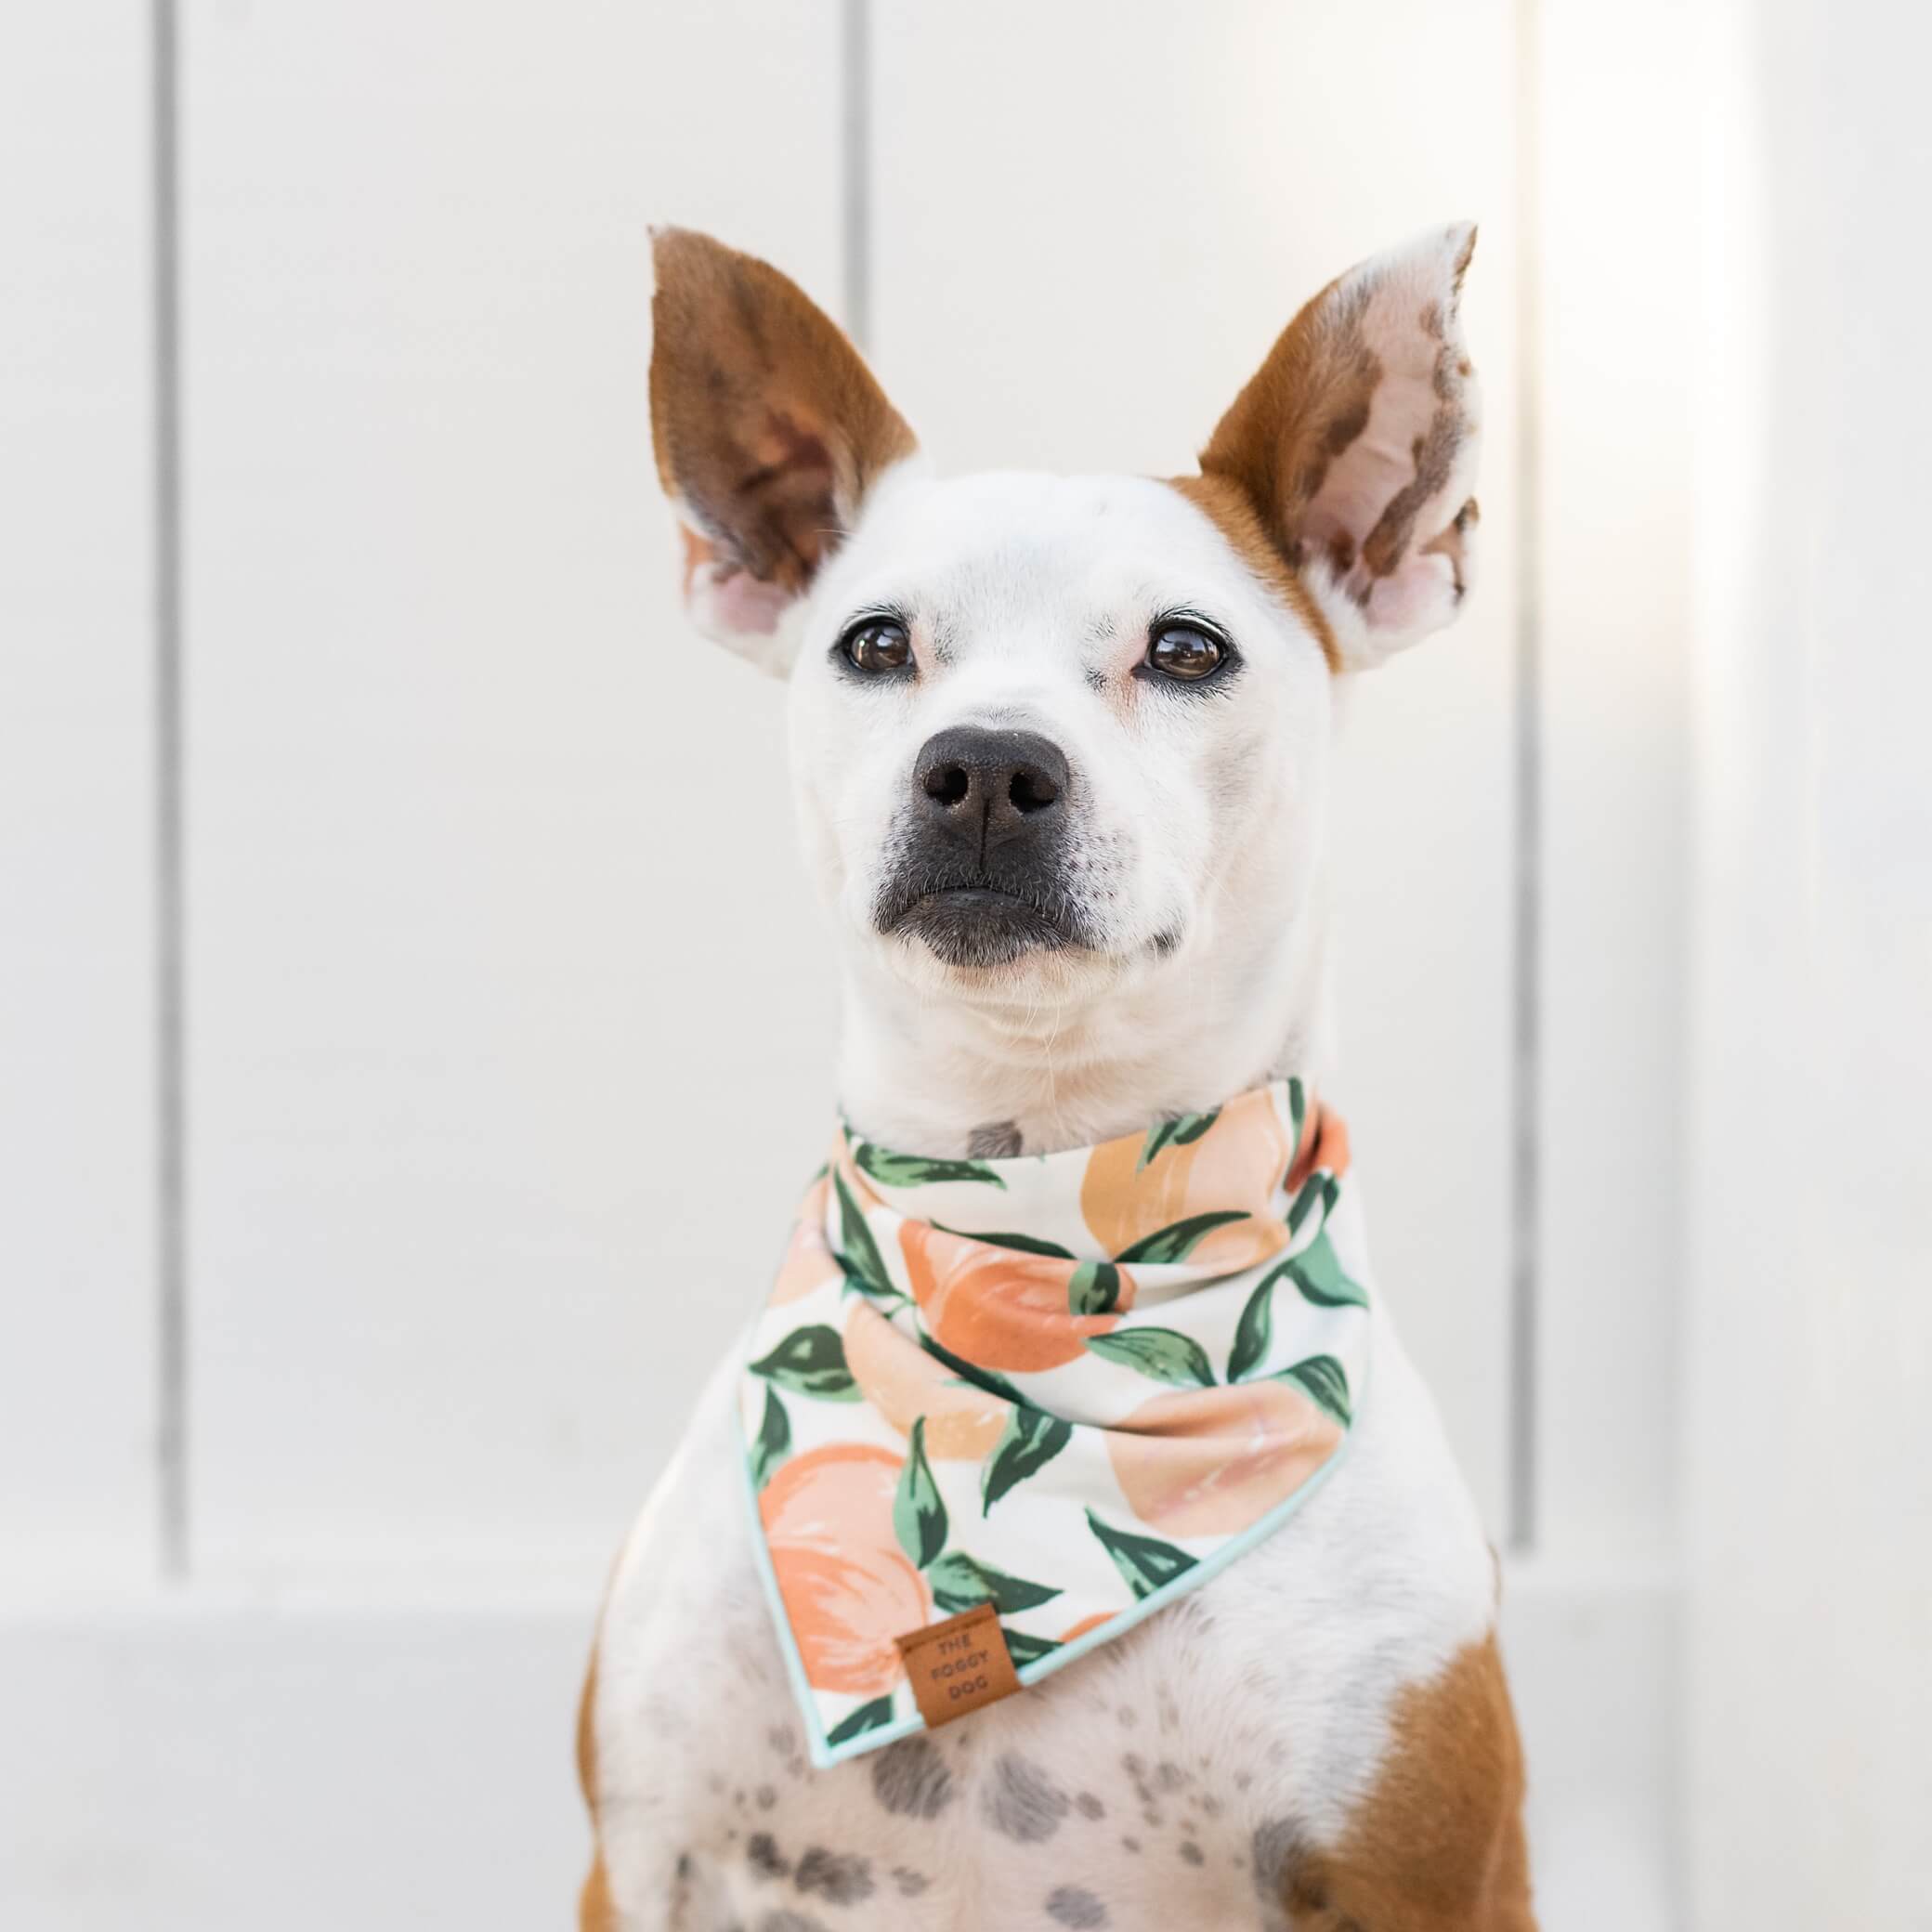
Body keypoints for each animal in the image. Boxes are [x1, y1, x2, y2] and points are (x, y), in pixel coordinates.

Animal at [580, 226, 1530, 1932]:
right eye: (876, 642)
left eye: (1188, 649)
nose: (985, 768)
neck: (1040, 1247)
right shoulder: (638, 1867)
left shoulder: (1434, 1878)